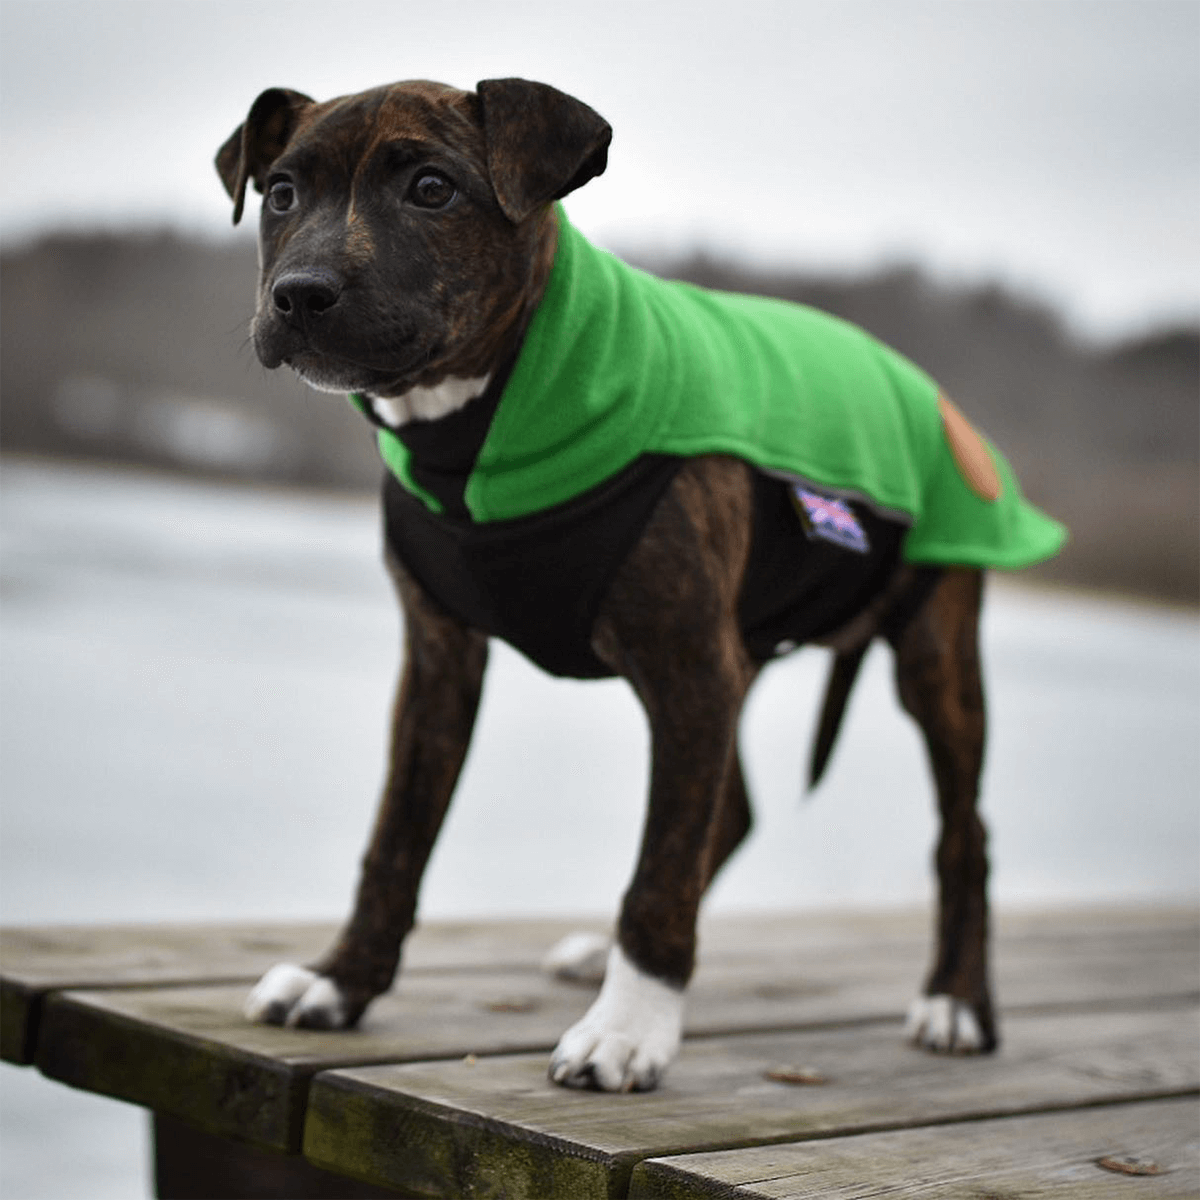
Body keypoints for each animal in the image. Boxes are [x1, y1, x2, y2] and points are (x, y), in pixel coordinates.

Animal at [213, 72, 1060, 1089]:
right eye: (281, 192)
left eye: (431, 189)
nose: (300, 294)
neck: (482, 422)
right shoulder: (441, 661)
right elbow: (396, 842)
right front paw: (342, 983)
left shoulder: (689, 669)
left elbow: (660, 872)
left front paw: (629, 1033)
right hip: (745, 657)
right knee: (729, 811)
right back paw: (598, 954)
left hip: (932, 653)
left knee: (961, 835)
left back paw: (956, 1003)